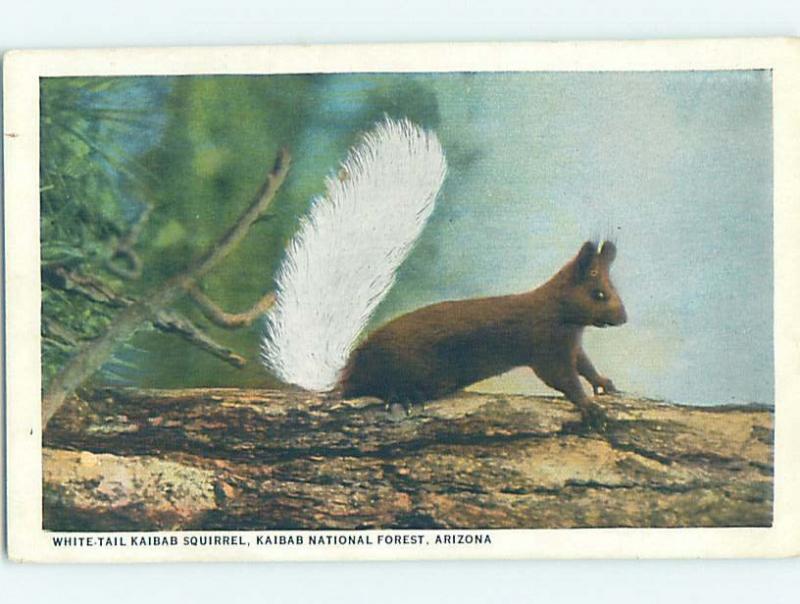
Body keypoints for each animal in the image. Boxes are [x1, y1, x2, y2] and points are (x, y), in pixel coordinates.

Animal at [260, 119, 624, 430]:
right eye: (599, 294)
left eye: (612, 288)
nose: (623, 318)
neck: (562, 315)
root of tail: (347, 371)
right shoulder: (545, 344)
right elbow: (563, 379)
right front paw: (589, 406)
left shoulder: (571, 346)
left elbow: (584, 365)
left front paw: (604, 384)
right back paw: (402, 398)